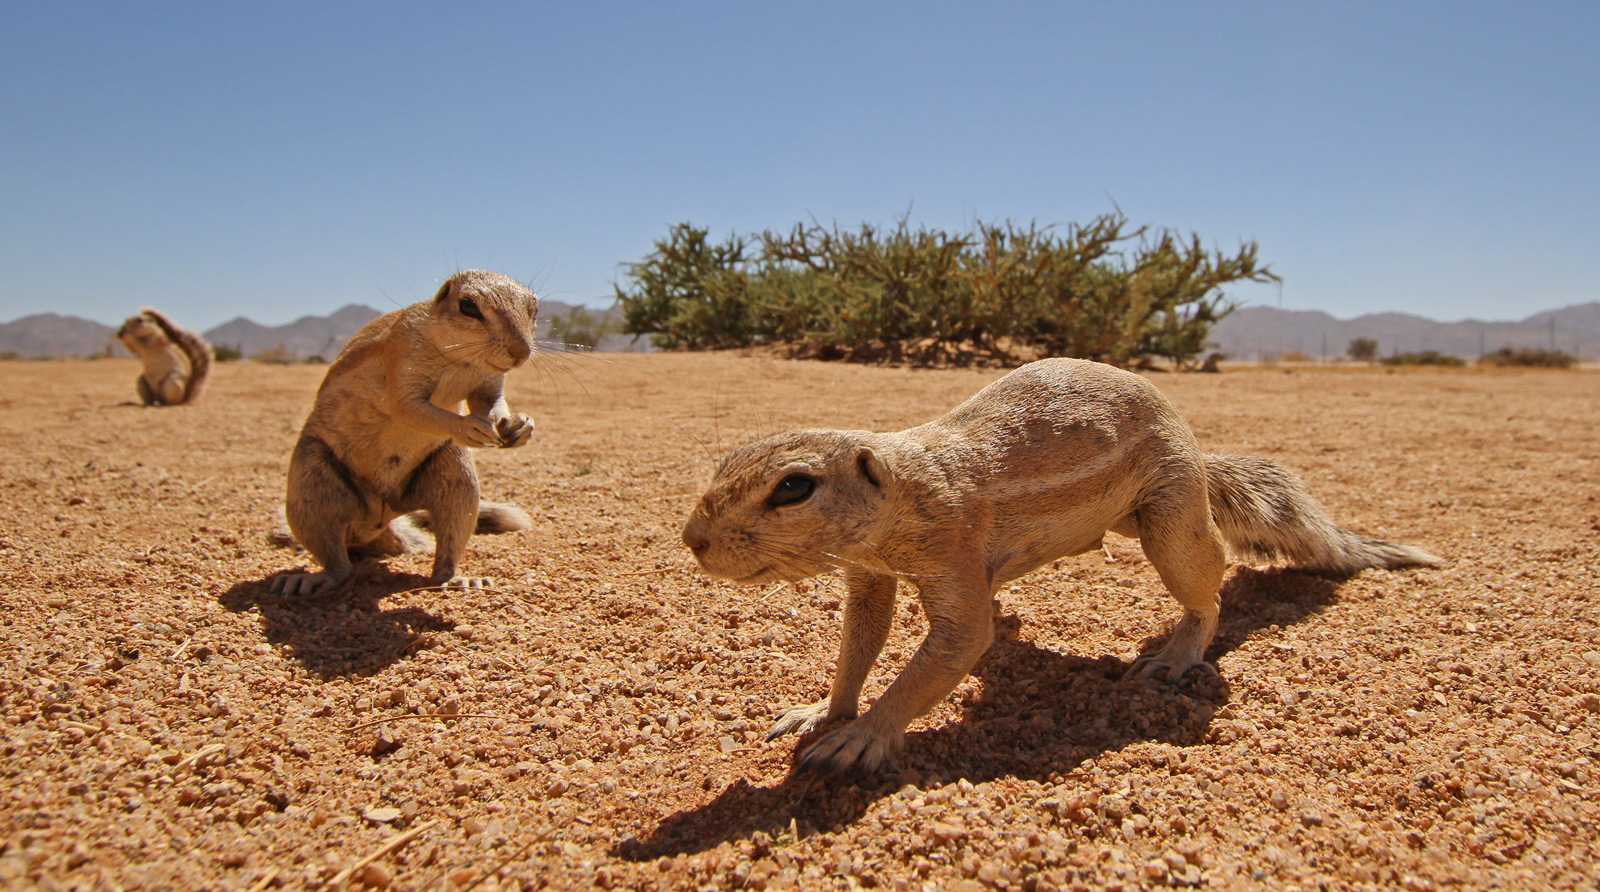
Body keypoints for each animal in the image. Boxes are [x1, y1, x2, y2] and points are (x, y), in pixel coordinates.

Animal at [275, 268, 544, 597]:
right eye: (468, 306)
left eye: (534, 310)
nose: (521, 352)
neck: (459, 360)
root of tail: (375, 519)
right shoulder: (402, 356)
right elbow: (409, 409)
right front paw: (466, 426)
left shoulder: (488, 381)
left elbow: (491, 402)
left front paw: (520, 425)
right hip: (310, 483)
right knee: (335, 559)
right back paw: (313, 579)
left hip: (455, 476)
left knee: (450, 533)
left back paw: (457, 578)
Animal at [681, 356, 1446, 776]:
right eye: (722, 461)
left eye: (794, 487)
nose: (692, 538)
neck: (907, 485)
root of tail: (1201, 457)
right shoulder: (868, 573)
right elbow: (859, 641)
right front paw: (824, 711)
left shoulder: (952, 547)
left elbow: (955, 643)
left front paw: (864, 736)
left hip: (1170, 516)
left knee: (1209, 587)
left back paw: (1176, 655)